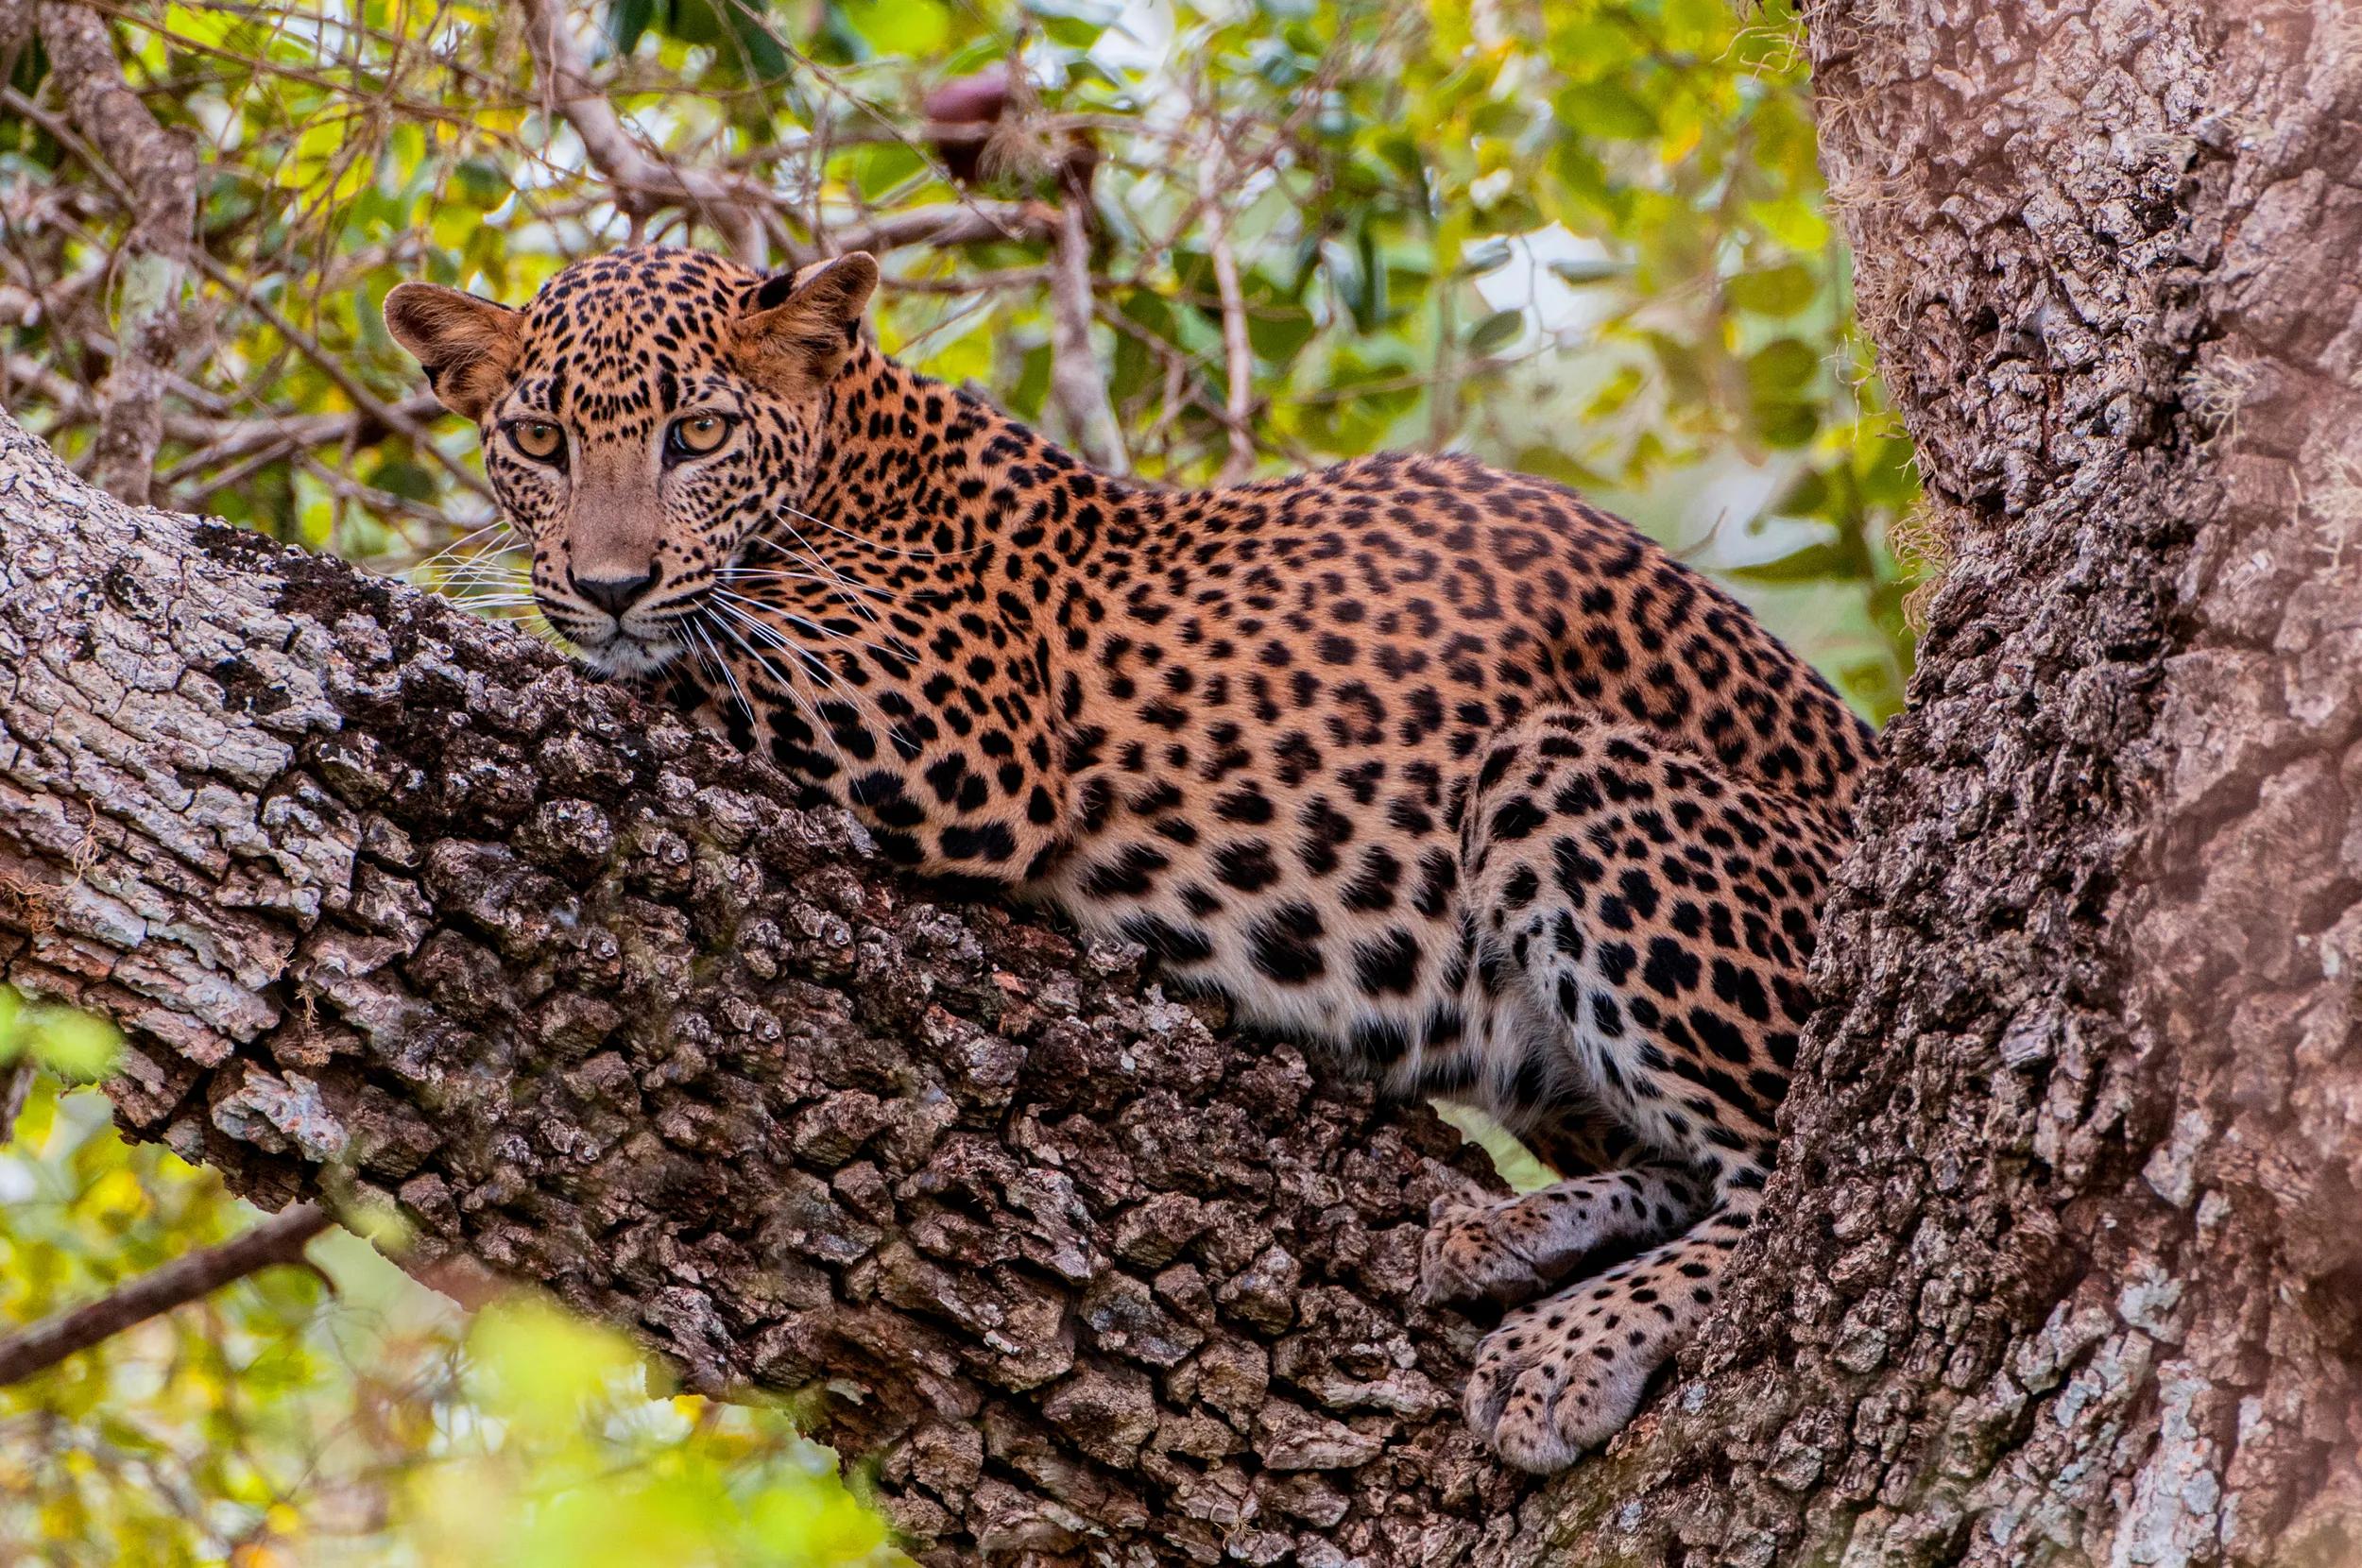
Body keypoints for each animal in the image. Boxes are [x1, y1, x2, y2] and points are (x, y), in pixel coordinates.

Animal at [384, 244, 1873, 1473]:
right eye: (539, 438)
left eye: (696, 434)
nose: (609, 582)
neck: (854, 445)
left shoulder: (955, 725)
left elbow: (690, 651)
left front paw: (488, 608)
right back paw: (1507, 1235)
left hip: (1564, 769)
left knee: (1791, 1176)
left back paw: (1562, 1351)